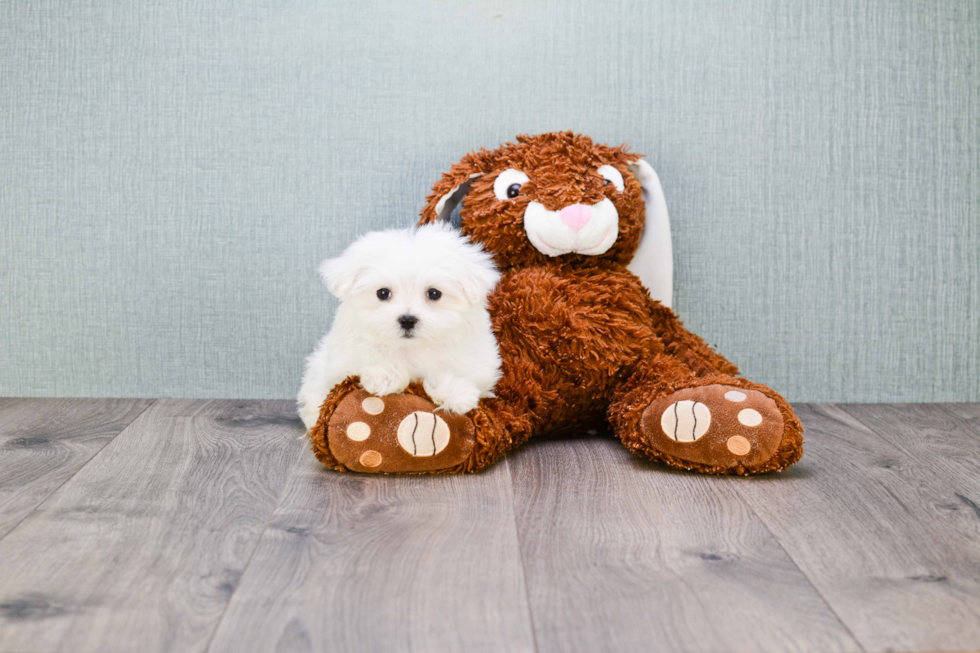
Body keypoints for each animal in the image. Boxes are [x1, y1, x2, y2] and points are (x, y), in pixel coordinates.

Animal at [296, 222, 498, 430]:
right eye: (383, 293)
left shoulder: (477, 363)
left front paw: (456, 393)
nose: (407, 320)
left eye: (434, 293)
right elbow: (360, 364)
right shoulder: (341, 361)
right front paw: (385, 376)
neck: (408, 348)